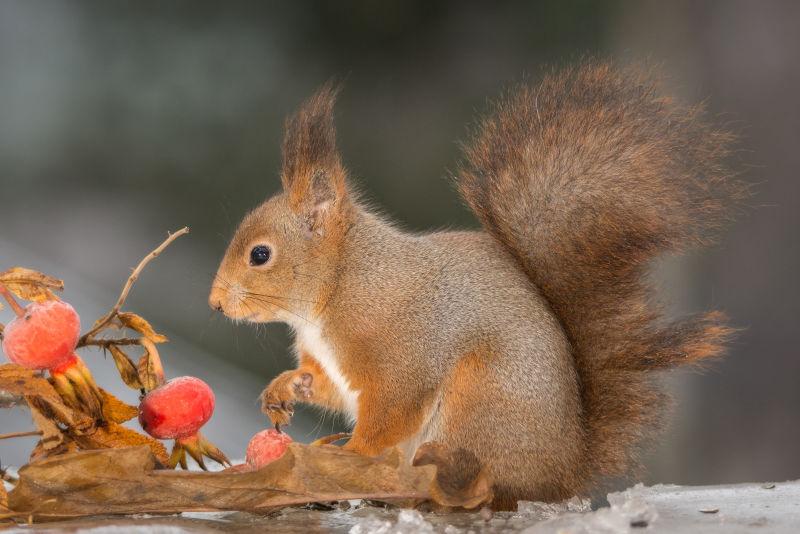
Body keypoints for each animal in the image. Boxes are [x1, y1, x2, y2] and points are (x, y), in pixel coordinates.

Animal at [208, 62, 744, 510]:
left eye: (260, 255)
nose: (214, 304)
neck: (339, 287)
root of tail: (562, 476)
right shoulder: (335, 367)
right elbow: (326, 388)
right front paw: (285, 387)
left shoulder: (399, 355)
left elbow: (391, 412)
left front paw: (352, 454)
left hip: (478, 402)